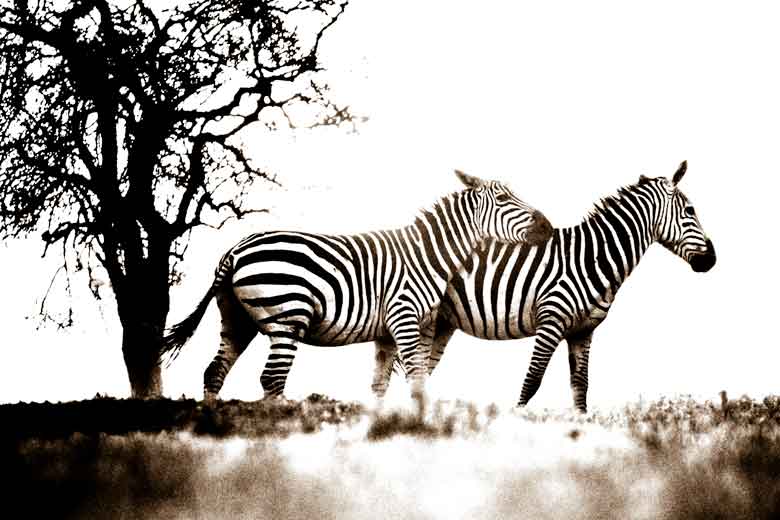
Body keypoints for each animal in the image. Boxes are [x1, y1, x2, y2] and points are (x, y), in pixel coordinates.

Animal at [161, 170, 553, 404]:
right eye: (503, 199)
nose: (548, 227)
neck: (427, 255)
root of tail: (235, 249)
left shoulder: (387, 332)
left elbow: (380, 384)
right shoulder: (404, 318)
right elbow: (416, 379)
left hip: (237, 319)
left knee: (215, 371)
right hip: (286, 317)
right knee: (271, 379)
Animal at [387, 161, 716, 412]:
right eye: (690, 210)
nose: (711, 259)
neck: (592, 257)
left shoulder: (583, 331)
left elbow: (581, 387)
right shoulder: (551, 320)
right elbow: (532, 380)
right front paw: (517, 419)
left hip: (441, 323)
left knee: (418, 373)